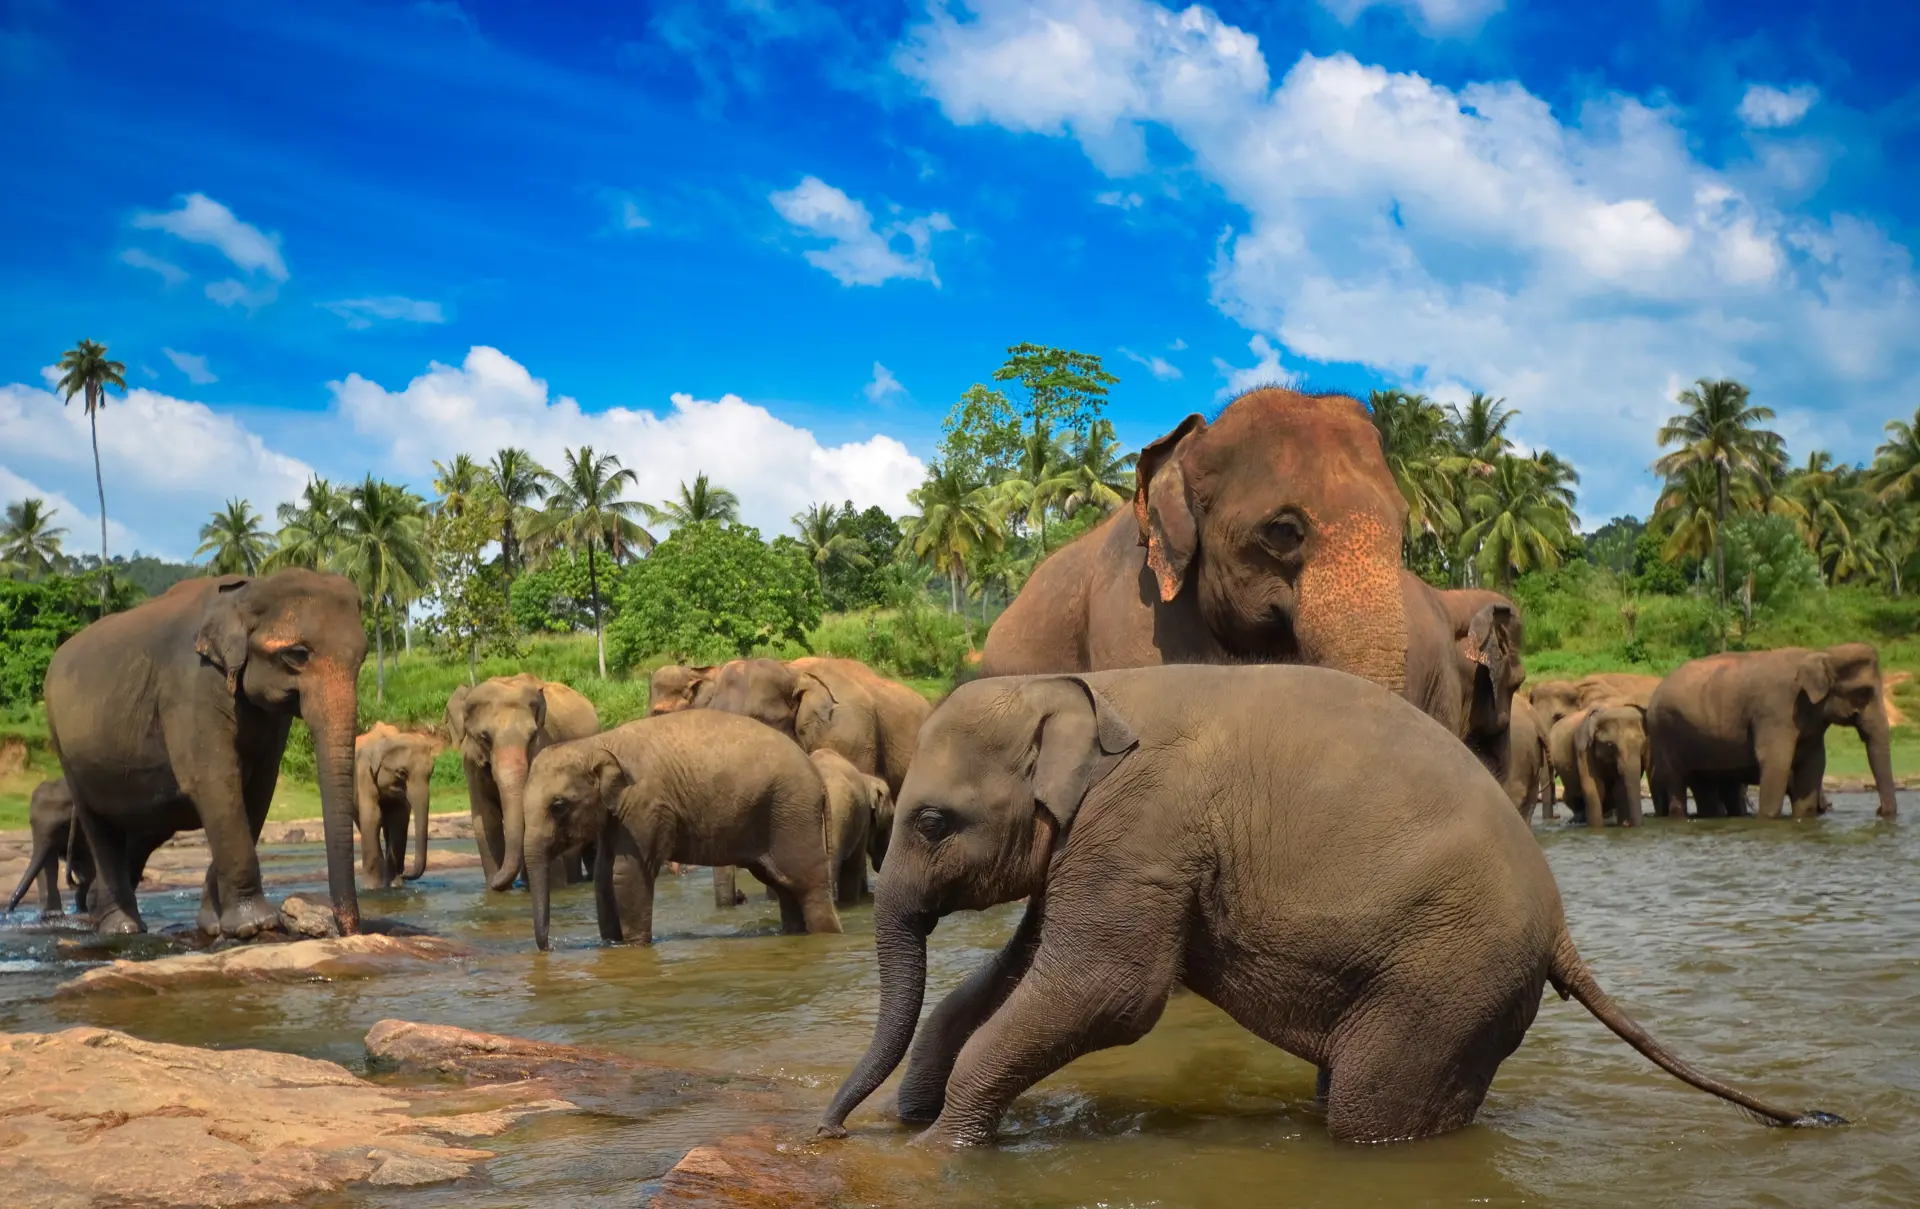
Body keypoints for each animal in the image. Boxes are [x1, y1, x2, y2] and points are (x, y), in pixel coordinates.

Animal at [44, 571, 366, 937]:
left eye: (363, 657)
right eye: (297, 654)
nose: (348, 929)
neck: (248, 591)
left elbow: (258, 791)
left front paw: (215, 925)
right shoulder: (190, 686)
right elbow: (215, 783)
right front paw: (254, 926)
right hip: (65, 750)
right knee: (98, 826)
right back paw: (121, 928)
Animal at [353, 723, 441, 888]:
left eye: (431, 772)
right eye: (401, 773)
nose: (405, 874)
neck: (388, 740)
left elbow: (398, 820)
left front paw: (395, 885)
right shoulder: (364, 773)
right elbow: (372, 817)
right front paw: (372, 888)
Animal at [445, 673, 600, 891]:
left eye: (533, 736)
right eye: (484, 737)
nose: (494, 883)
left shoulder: (544, 746)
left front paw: (555, 888)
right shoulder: (471, 763)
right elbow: (486, 820)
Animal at [520, 710, 844, 950]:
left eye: (558, 806)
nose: (549, 947)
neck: (596, 743)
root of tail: (818, 777)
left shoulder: (645, 805)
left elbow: (627, 873)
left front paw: (634, 947)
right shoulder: (617, 814)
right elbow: (602, 874)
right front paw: (611, 944)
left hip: (792, 812)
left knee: (807, 884)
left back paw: (827, 936)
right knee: (782, 884)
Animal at [1647, 644, 1896, 820]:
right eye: (1865, 692)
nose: (1879, 811)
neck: (1822, 653)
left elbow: (1814, 764)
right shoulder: (1776, 711)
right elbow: (1776, 761)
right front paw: (1767, 819)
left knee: (1704, 783)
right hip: (1663, 732)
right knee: (1677, 780)